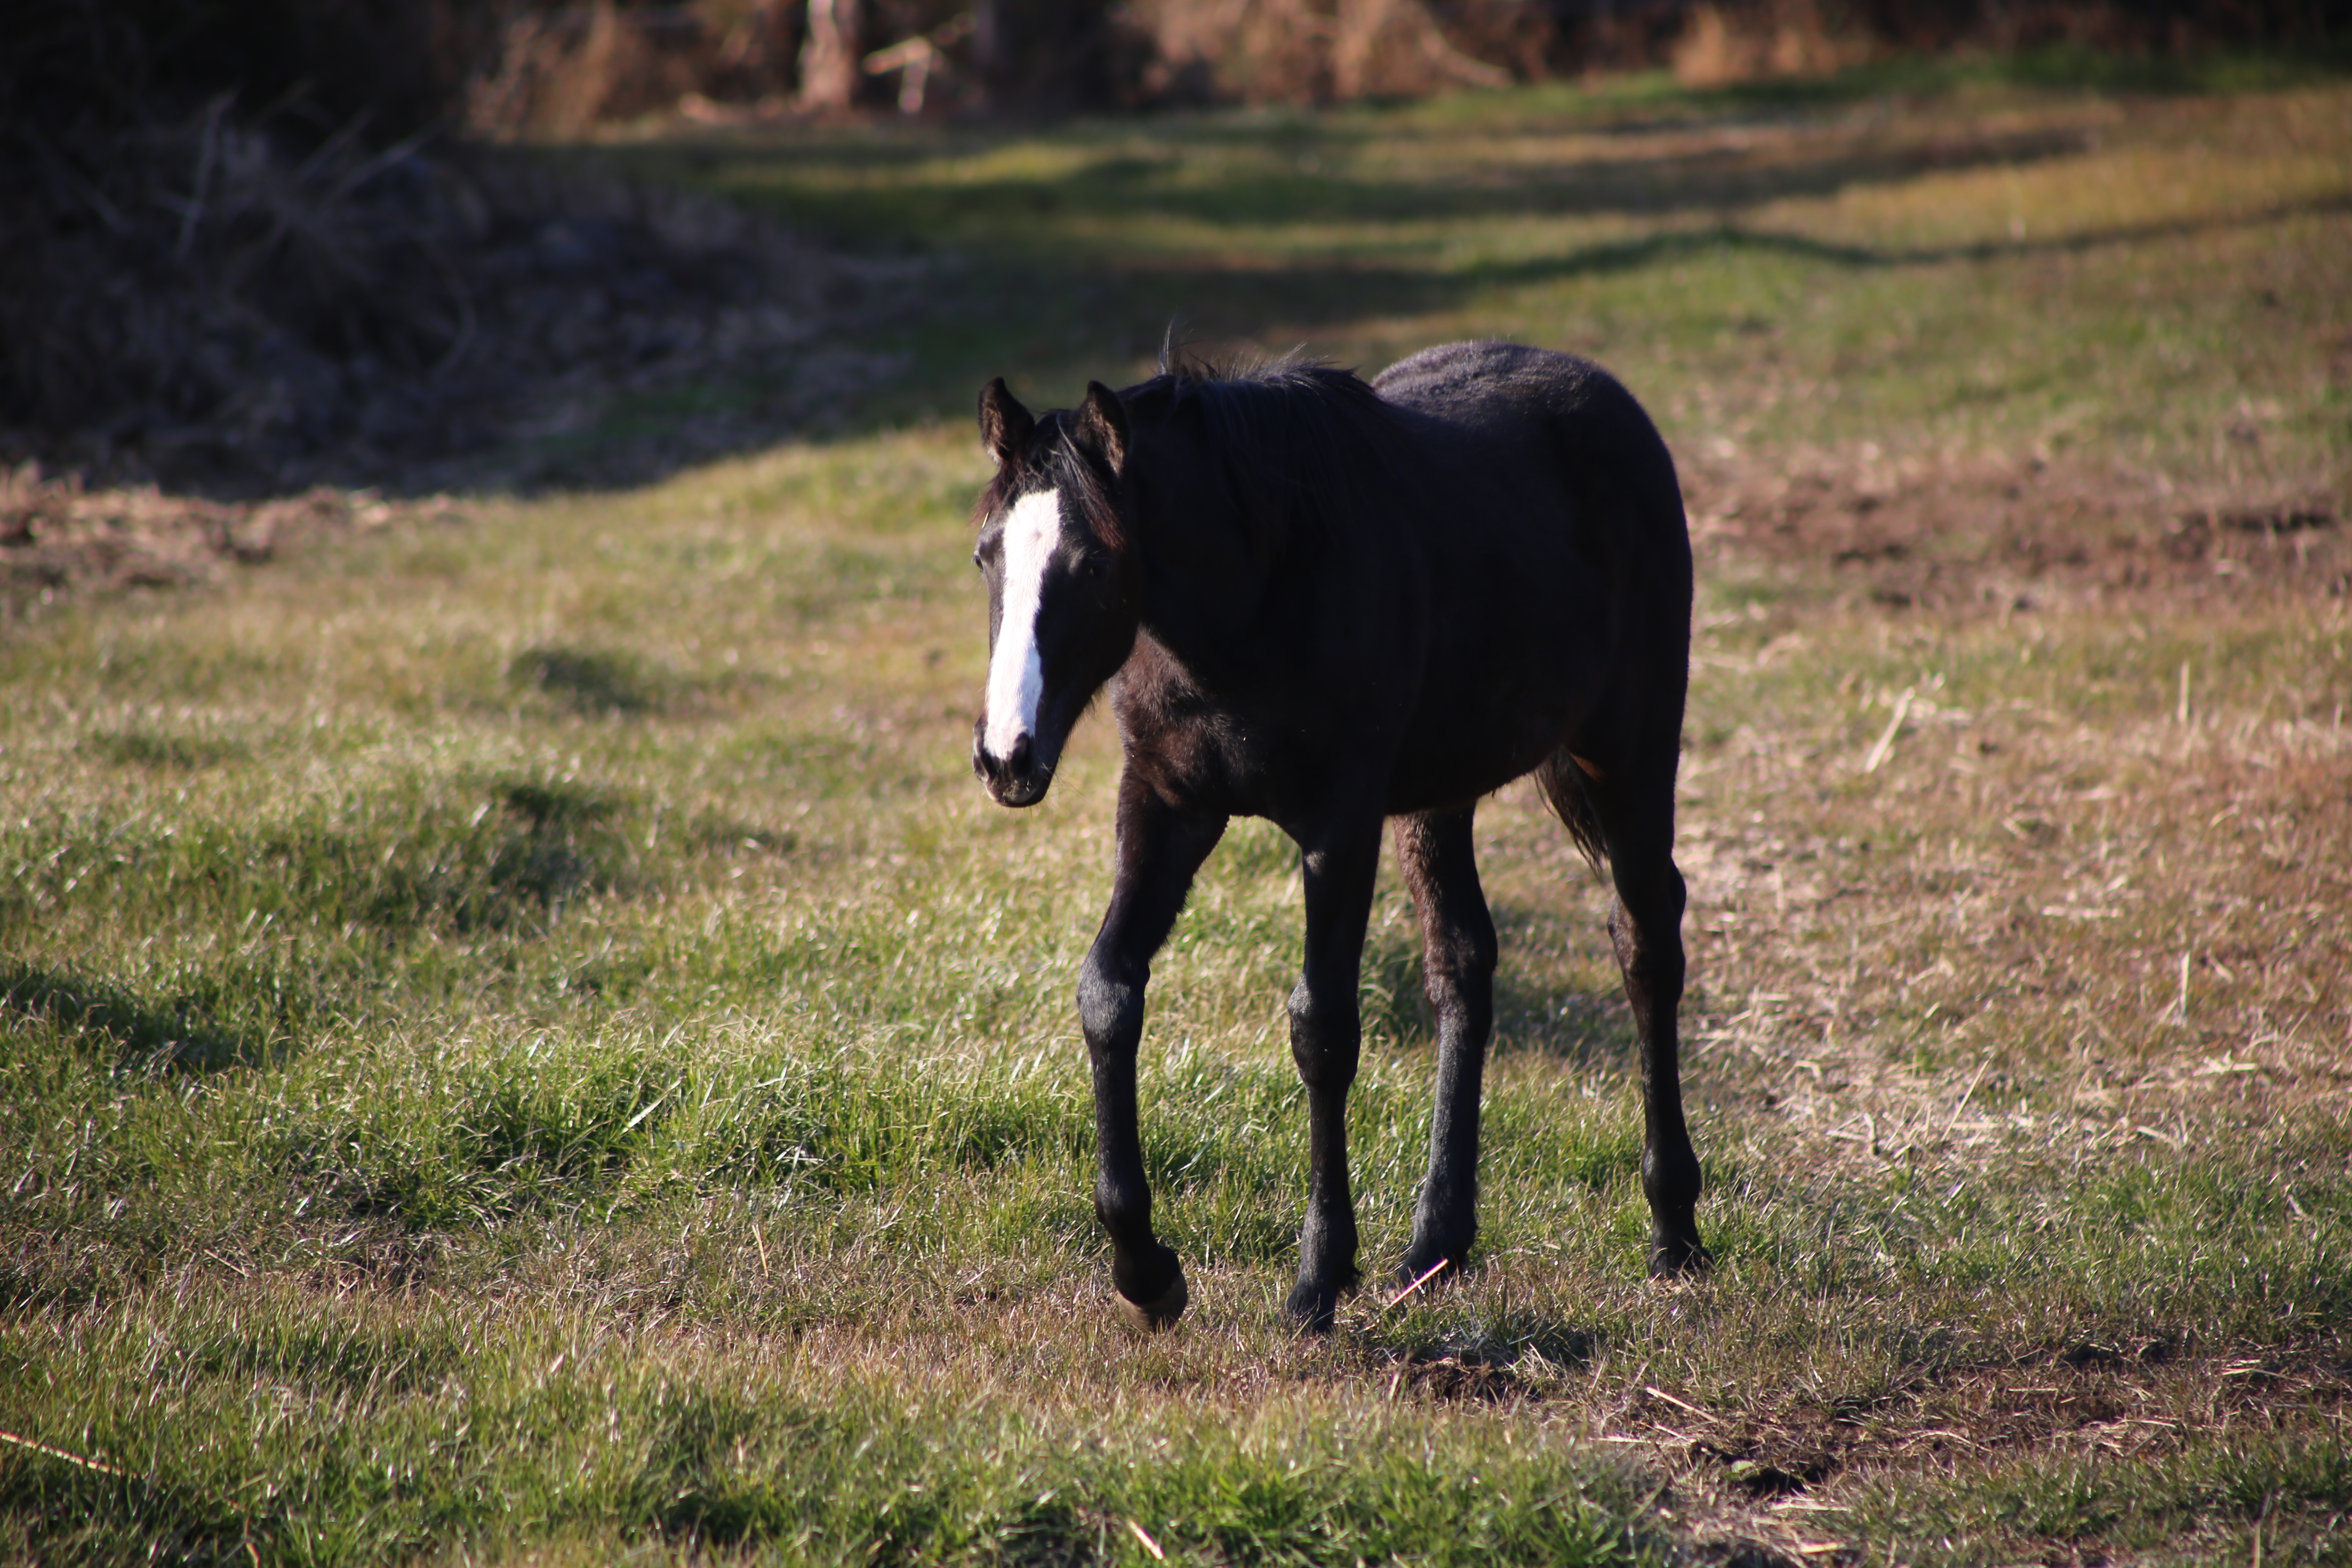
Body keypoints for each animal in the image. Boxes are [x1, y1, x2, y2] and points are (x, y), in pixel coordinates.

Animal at [964, 341, 1703, 1326]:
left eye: (1090, 567)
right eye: (985, 557)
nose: (1007, 756)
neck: (1257, 595)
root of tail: (1610, 402)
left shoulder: (1340, 825)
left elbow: (1323, 1031)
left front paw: (1319, 1277)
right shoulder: (1166, 804)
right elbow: (1109, 992)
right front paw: (1146, 1271)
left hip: (1627, 751)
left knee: (1646, 943)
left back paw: (1675, 1231)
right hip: (1441, 791)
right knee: (1463, 961)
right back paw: (1435, 1246)